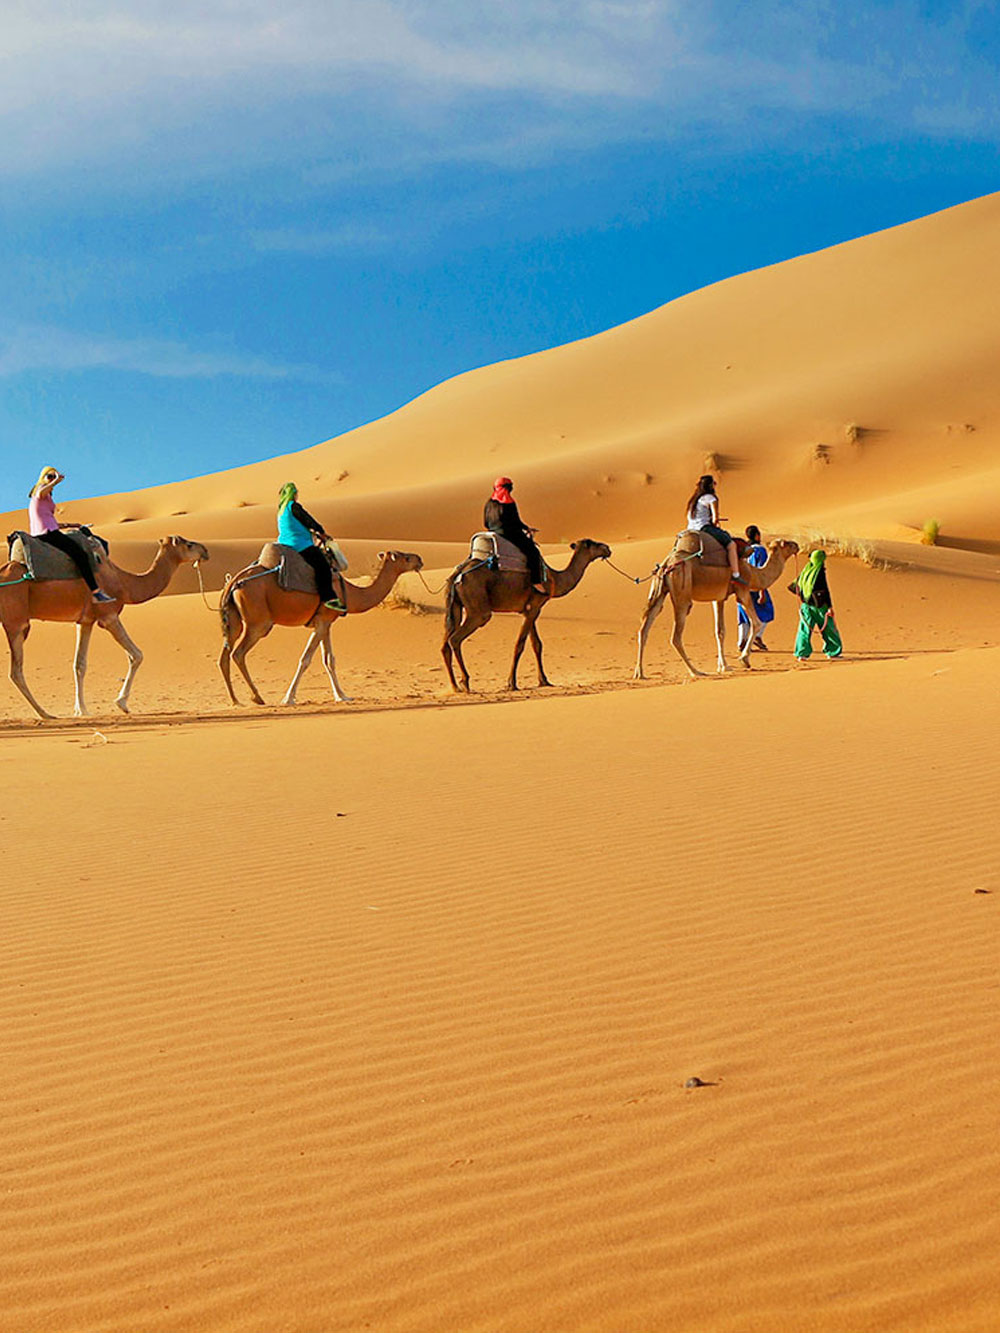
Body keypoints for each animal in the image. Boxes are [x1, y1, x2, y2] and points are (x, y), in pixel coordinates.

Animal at [0, 534, 209, 720]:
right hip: (16, 623)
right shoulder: (109, 616)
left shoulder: (85, 621)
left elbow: (79, 664)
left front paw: (81, 710)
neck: (125, 584)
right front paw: (121, 703)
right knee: (16, 672)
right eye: (189, 544)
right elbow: (136, 655)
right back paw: (45, 713)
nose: (205, 551)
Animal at [219, 549, 424, 706]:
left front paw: (342, 696)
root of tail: (234, 582)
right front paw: (288, 698)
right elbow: (306, 659)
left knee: (224, 657)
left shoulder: (326, 622)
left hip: (234, 620)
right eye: (406, 558)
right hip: (259, 623)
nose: (419, 560)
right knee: (238, 653)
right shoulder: (322, 621)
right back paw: (257, 697)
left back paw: (236, 700)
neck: (350, 593)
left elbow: (329, 659)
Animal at [442, 538, 612, 693]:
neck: (553, 579)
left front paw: (544, 681)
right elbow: (520, 645)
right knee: (455, 638)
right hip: (478, 608)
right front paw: (512, 683)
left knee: (445, 644)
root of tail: (458, 574)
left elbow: (536, 644)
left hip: (455, 605)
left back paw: (455, 686)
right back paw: (465, 682)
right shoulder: (534, 607)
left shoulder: (529, 610)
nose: (607, 548)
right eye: (592, 543)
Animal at [634, 536, 800, 680]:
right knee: (675, 636)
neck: (754, 574)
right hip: (682, 594)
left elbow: (720, 631)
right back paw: (696, 671)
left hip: (659, 590)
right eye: (786, 543)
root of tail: (666, 564)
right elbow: (756, 622)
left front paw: (723, 666)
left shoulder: (718, 598)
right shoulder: (742, 590)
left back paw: (639, 673)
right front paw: (744, 659)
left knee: (644, 628)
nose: (797, 545)